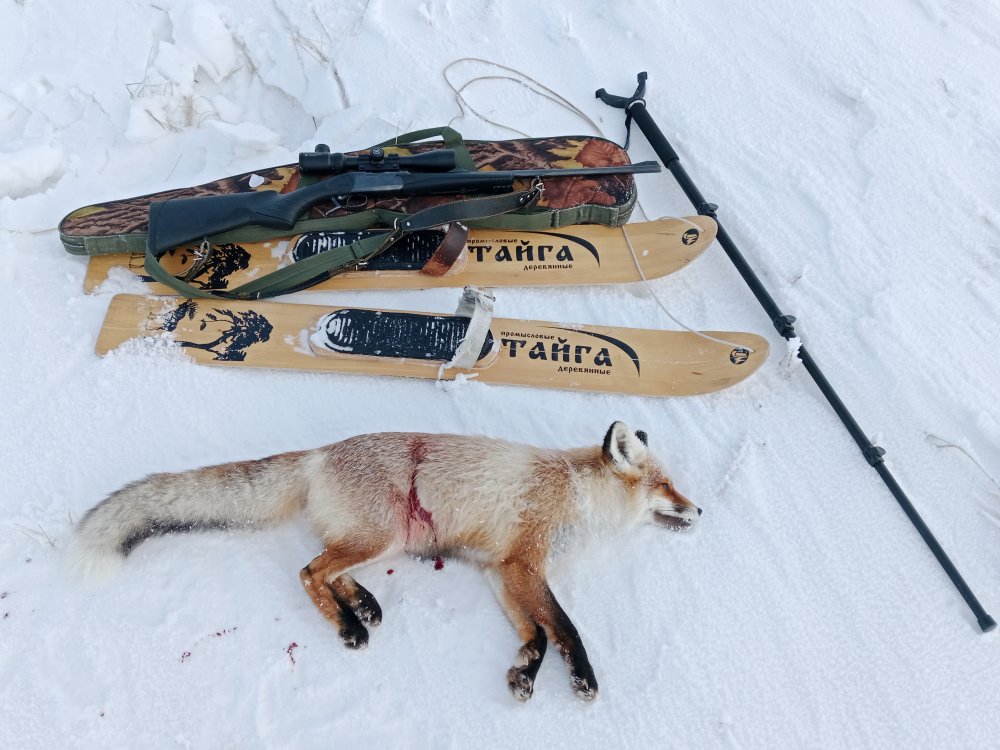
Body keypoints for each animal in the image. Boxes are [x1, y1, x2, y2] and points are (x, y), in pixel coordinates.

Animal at [68, 421, 700, 701]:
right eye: (666, 484)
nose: (699, 510)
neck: (576, 499)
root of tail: (320, 453)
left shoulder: (500, 570)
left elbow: (537, 633)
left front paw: (524, 671)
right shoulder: (525, 564)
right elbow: (564, 627)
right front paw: (583, 678)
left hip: (390, 540)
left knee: (329, 568)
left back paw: (362, 603)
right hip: (384, 535)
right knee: (308, 571)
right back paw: (348, 624)